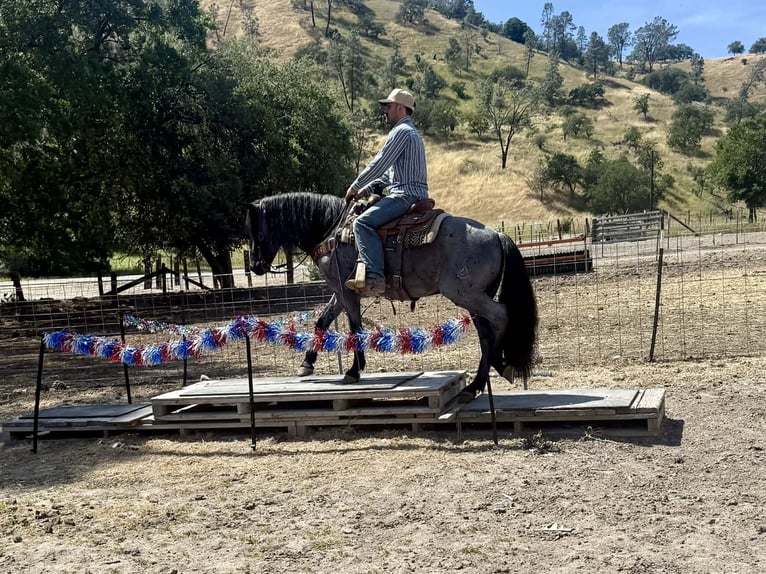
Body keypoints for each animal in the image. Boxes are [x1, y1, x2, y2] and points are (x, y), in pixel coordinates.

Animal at [245, 192, 537, 400]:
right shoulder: (339, 291)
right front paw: (307, 363)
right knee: (485, 334)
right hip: (474, 298)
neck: (331, 230)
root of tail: (497, 234)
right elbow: (323, 322)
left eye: (256, 232)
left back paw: (498, 366)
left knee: (501, 316)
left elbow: (354, 327)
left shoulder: (346, 291)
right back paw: (476, 384)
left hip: (467, 295)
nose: (255, 265)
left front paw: (354, 370)